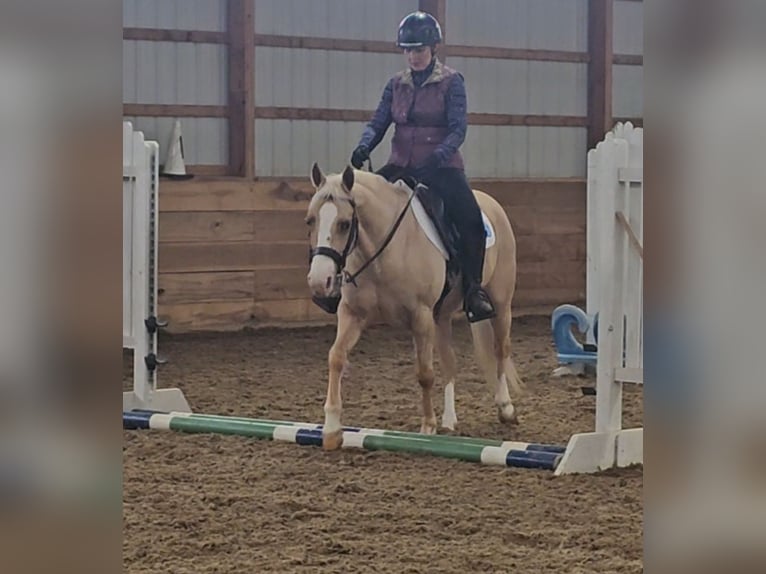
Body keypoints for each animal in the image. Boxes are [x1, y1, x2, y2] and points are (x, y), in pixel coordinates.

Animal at [308, 164, 524, 452]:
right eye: (310, 220)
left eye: (344, 224)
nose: (319, 282)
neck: (385, 250)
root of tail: (491, 203)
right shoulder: (352, 314)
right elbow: (336, 357)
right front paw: (332, 429)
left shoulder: (420, 316)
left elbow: (424, 373)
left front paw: (427, 427)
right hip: (441, 317)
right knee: (450, 362)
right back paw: (449, 420)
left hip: (500, 303)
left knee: (501, 349)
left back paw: (506, 408)